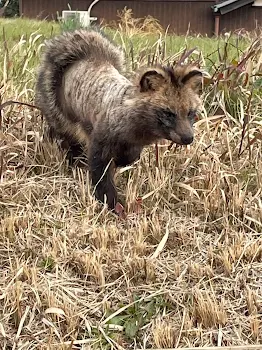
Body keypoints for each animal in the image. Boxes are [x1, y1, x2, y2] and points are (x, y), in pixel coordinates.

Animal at [34, 27, 203, 212]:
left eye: (191, 113)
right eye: (168, 113)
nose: (189, 138)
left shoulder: (132, 147)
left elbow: (129, 159)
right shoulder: (98, 145)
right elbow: (102, 180)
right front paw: (111, 205)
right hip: (62, 121)